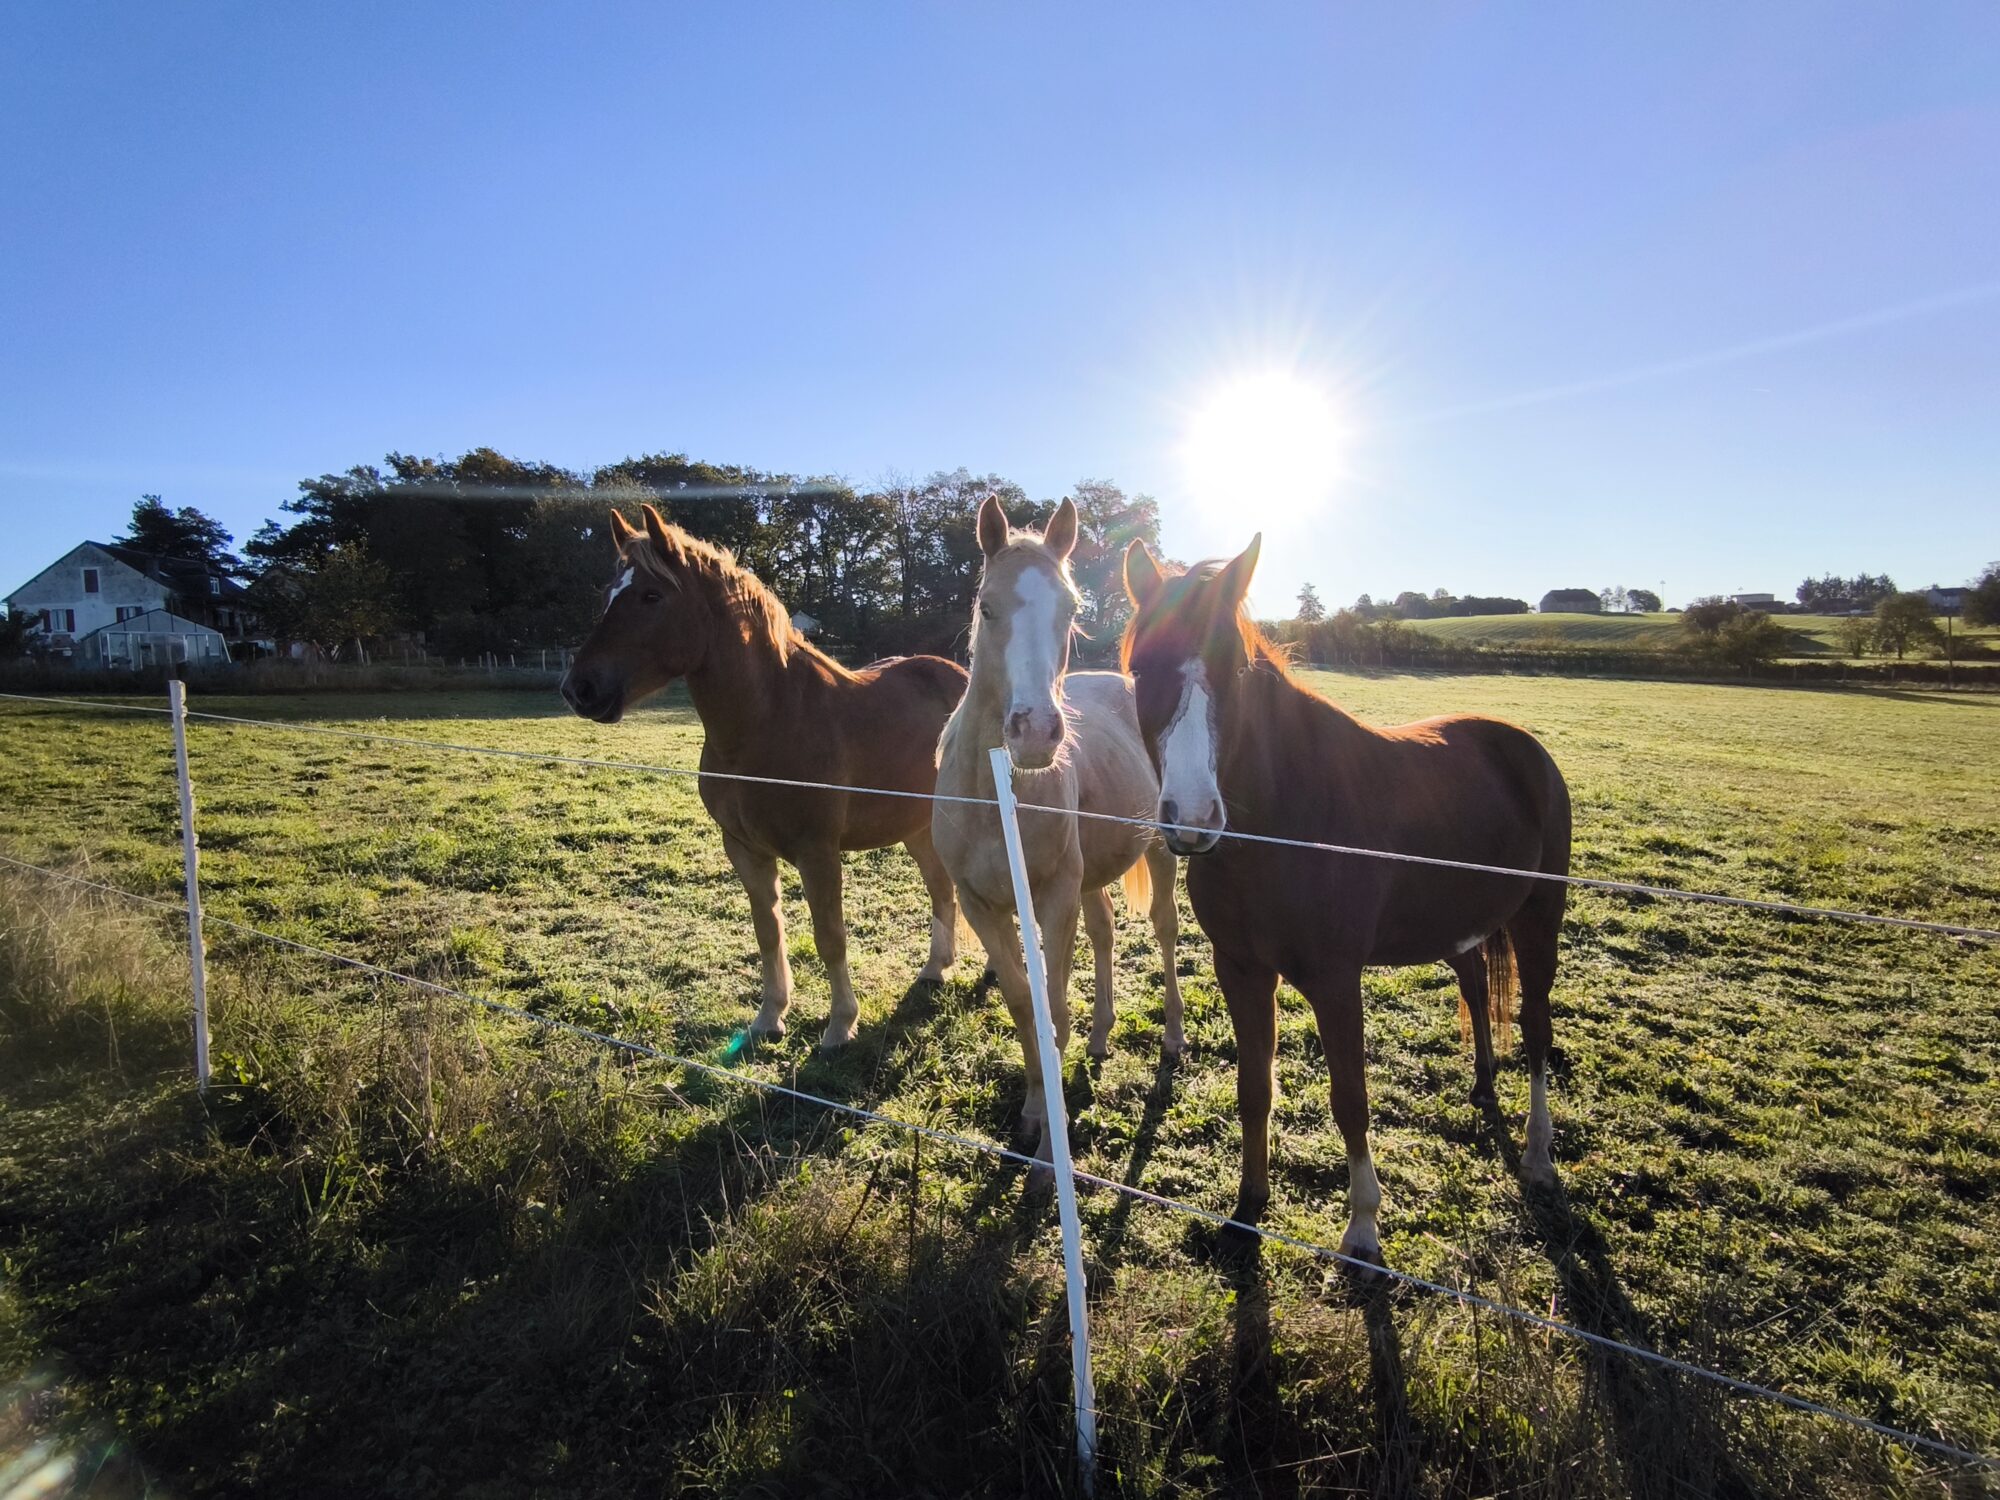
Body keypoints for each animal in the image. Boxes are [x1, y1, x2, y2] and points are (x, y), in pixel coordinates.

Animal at [561, 503, 969, 1049]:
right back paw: (935, 969)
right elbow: (767, 931)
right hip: (918, 827)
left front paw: (840, 1025)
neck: (767, 721)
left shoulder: (818, 852)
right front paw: (769, 1017)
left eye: (651, 595)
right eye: (609, 594)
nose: (579, 688)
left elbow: (829, 936)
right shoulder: (745, 849)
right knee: (942, 890)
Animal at [932, 494, 1184, 1158]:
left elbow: (1054, 1012)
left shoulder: (1053, 898)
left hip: (1158, 855)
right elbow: (1026, 1006)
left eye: (1070, 609)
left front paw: (1051, 1149)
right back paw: (1101, 1036)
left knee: (1165, 930)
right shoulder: (980, 905)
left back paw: (1173, 1037)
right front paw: (1030, 1109)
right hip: (1091, 878)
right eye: (986, 606)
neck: (995, 795)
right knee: (1105, 931)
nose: (1036, 733)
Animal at [1121, 534, 1571, 1266]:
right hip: (1464, 926)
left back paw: (1537, 1154)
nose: (1192, 819)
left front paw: (1362, 1228)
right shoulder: (1240, 970)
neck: (1282, 825)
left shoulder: (1336, 981)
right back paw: (1481, 1086)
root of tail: (1524, 746)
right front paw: (1248, 1207)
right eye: (1139, 670)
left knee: (1535, 1027)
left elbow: (1350, 1098)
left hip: (1539, 920)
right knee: (1477, 987)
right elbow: (1253, 1089)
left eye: (1237, 669)